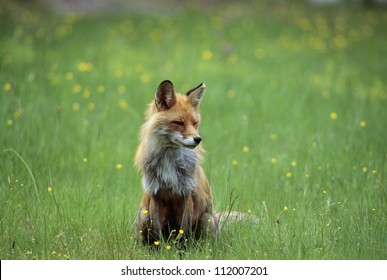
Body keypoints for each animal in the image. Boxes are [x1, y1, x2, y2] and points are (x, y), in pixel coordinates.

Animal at [133, 80, 218, 244]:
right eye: (178, 123)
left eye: (194, 123)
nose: (198, 139)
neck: (169, 161)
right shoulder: (155, 193)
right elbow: (157, 233)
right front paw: (161, 249)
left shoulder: (186, 193)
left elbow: (184, 231)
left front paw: (182, 250)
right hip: (144, 215)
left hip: (206, 219)